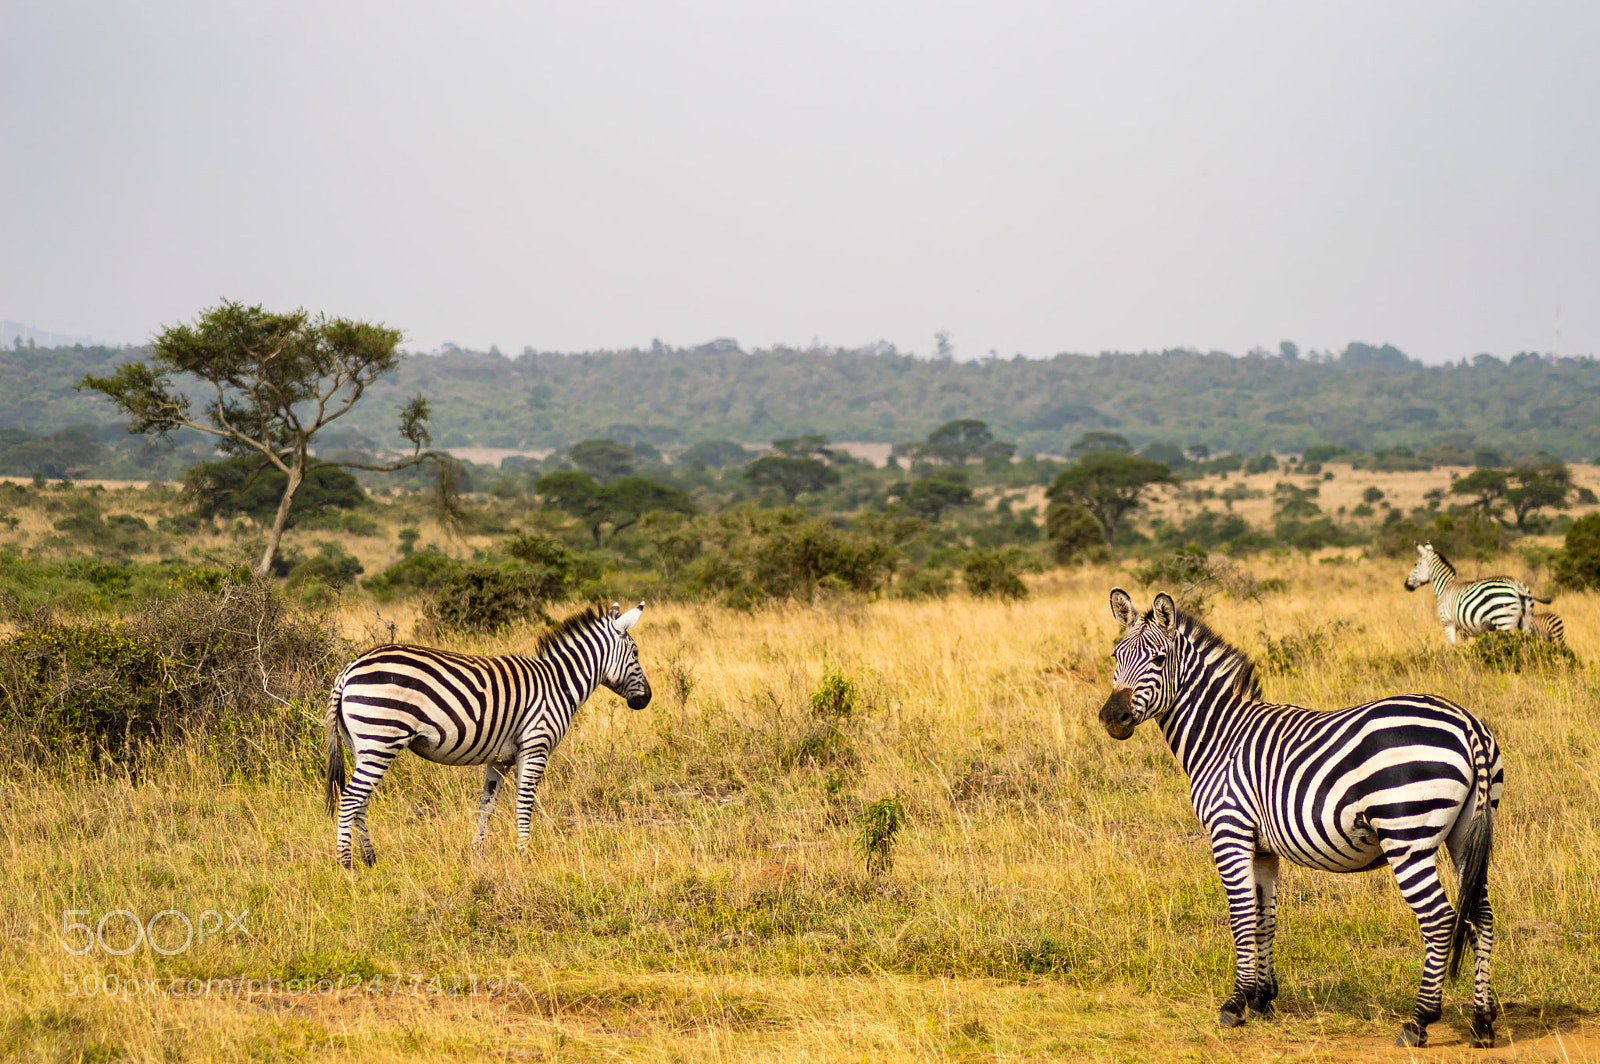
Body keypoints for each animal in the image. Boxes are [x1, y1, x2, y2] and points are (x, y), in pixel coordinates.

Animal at [324, 601, 652, 869]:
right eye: (635, 653)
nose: (646, 699)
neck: (559, 683)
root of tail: (347, 670)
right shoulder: (535, 747)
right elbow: (524, 803)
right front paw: (524, 854)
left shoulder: (500, 759)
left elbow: (487, 804)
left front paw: (477, 853)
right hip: (381, 741)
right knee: (350, 798)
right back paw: (347, 865)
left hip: (361, 746)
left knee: (361, 801)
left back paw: (370, 859)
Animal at [1100, 588, 1502, 1049]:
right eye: (1116, 655)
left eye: (1159, 659)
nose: (1112, 718)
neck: (1219, 737)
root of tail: (1468, 724)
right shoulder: (1262, 848)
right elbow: (1265, 919)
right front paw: (1263, 998)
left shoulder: (1229, 832)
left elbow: (1240, 916)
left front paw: (1235, 1002)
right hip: (1465, 833)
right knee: (1481, 915)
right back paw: (1482, 1022)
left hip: (1407, 838)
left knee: (1439, 919)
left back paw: (1418, 1021)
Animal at [1404, 542, 1549, 645]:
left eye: (1415, 564)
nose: (1406, 585)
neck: (1445, 587)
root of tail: (1516, 586)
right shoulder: (1463, 630)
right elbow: (1463, 648)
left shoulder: (1448, 623)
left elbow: (1452, 648)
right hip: (1526, 621)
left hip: (1505, 622)